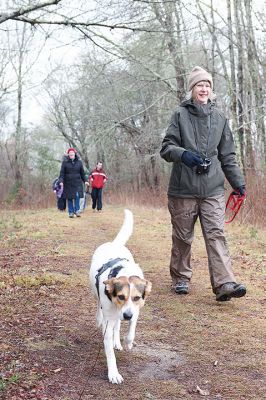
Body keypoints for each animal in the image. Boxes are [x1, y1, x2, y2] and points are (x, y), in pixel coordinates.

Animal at [89, 208, 152, 382]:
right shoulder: (110, 317)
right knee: (99, 307)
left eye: (136, 298)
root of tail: (114, 244)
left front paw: (128, 342)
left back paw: (118, 341)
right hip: (96, 296)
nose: (127, 315)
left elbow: (131, 330)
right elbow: (109, 349)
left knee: (118, 325)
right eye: (121, 297)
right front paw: (113, 373)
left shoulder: (135, 310)